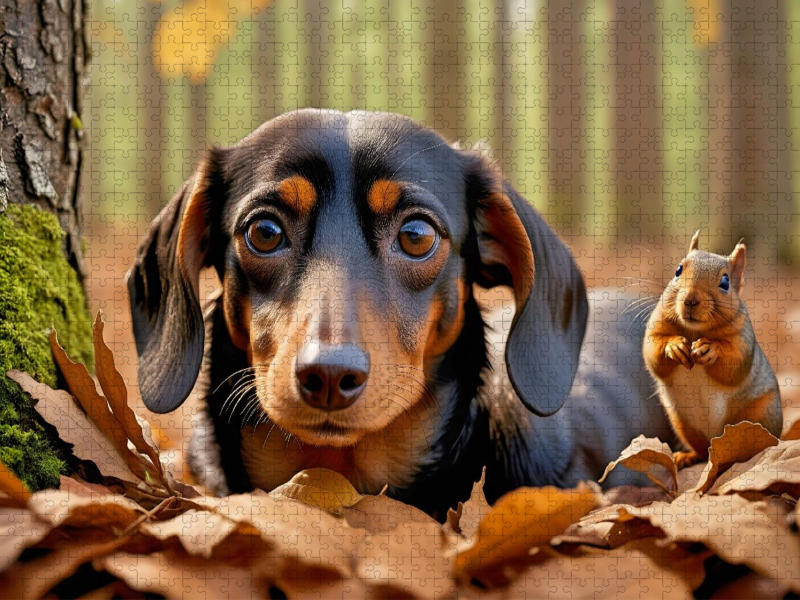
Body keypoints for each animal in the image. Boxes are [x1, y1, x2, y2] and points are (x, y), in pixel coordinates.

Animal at [643, 230, 783, 468]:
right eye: (678, 270)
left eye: (725, 282)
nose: (690, 300)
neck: (694, 331)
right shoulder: (657, 325)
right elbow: (652, 352)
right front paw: (674, 346)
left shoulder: (743, 338)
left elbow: (734, 365)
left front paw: (711, 349)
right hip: (683, 424)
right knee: (702, 451)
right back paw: (687, 456)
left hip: (760, 415)